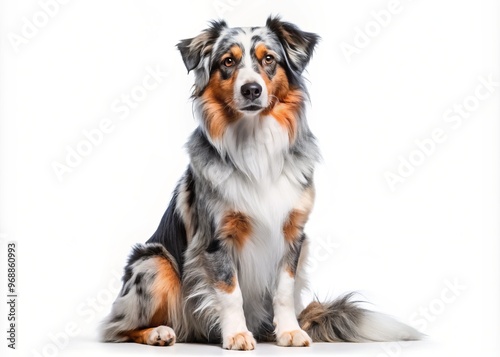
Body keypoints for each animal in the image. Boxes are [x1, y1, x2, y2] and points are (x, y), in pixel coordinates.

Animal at [99, 16, 420, 348]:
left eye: (269, 59)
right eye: (228, 61)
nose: (251, 89)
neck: (255, 141)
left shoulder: (294, 235)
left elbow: (284, 290)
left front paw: (290, 331)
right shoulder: (217, 239)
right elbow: (230, 292)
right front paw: (237, 335)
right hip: (153, 261)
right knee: (117, 327)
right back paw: (158, 332)